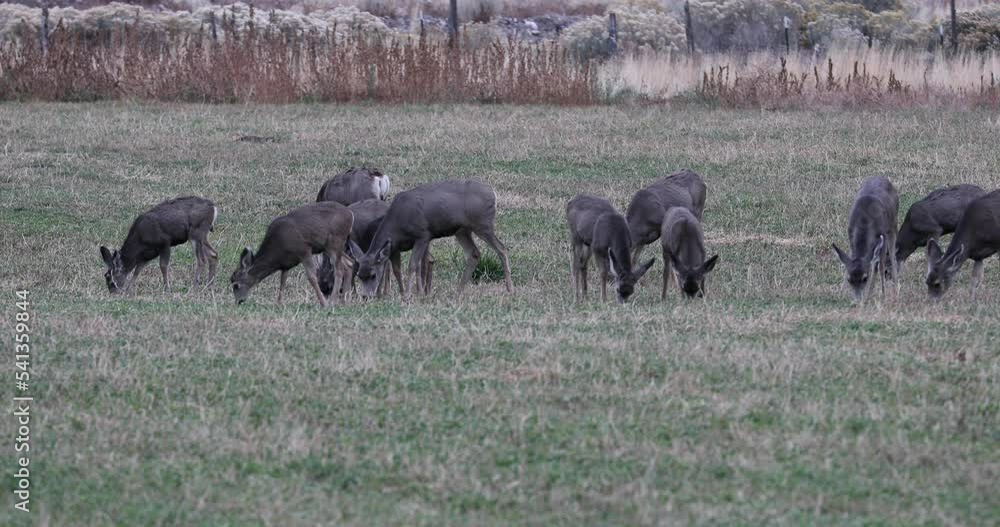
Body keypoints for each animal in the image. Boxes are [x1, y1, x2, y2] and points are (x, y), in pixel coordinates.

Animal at [349, 180, 513, 298]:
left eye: (373, 275)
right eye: (359, 275)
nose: (365, 296)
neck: (398, 222)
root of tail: (493, 193)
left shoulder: (423, 235)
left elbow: (413, 265)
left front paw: (409, 294)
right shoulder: (394, 246)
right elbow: (398, 269)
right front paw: (407, 293)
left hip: (483, 224)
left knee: (502, 248)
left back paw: (510, 289)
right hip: (462, 231)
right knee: (474, 253)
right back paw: (459, 292)